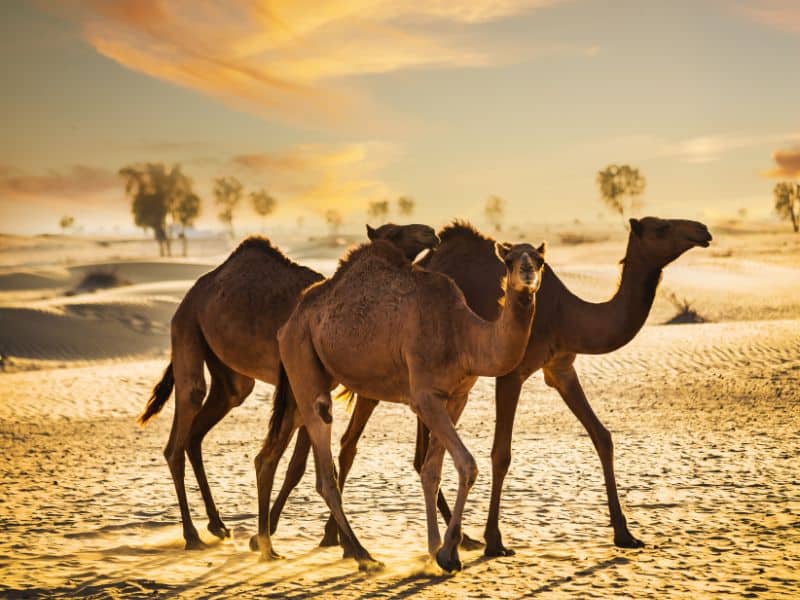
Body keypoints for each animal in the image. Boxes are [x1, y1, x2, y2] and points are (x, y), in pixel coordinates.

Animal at [136, 221, 438, 548]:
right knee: (182, 422)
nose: (429, 232)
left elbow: (297, 466)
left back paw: (217, 524)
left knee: (207, 420)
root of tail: (191, 295)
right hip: (186, 327)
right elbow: (293, 463)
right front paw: (272, 533)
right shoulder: (300, 383)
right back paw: (191, 534)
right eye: (392, 232)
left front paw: (277, 531)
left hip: (229, 375)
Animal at [253, 234, 548, 572]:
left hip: (306, 374)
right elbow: (466, 465)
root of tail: (290, 321)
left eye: (540, 260)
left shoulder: (456, 397)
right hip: (302, 357)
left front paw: (435, 549)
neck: (462, 335)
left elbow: (432, 470)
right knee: (324, 468)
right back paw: (363, 555)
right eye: (509, 260)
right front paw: (448, 553)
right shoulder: (425, 397)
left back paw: (267, 547)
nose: (527, 272)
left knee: (269, 454)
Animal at [270, 217, 712, 556]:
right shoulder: (511, 374)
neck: (568, 314)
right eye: (660, 226)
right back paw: (338, 541)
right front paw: (494, 540)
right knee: (345, 443)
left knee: (383, 449)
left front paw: (624, 533)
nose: (702, 230)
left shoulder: (560, 367)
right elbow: (501, 453)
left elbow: (602, 436)